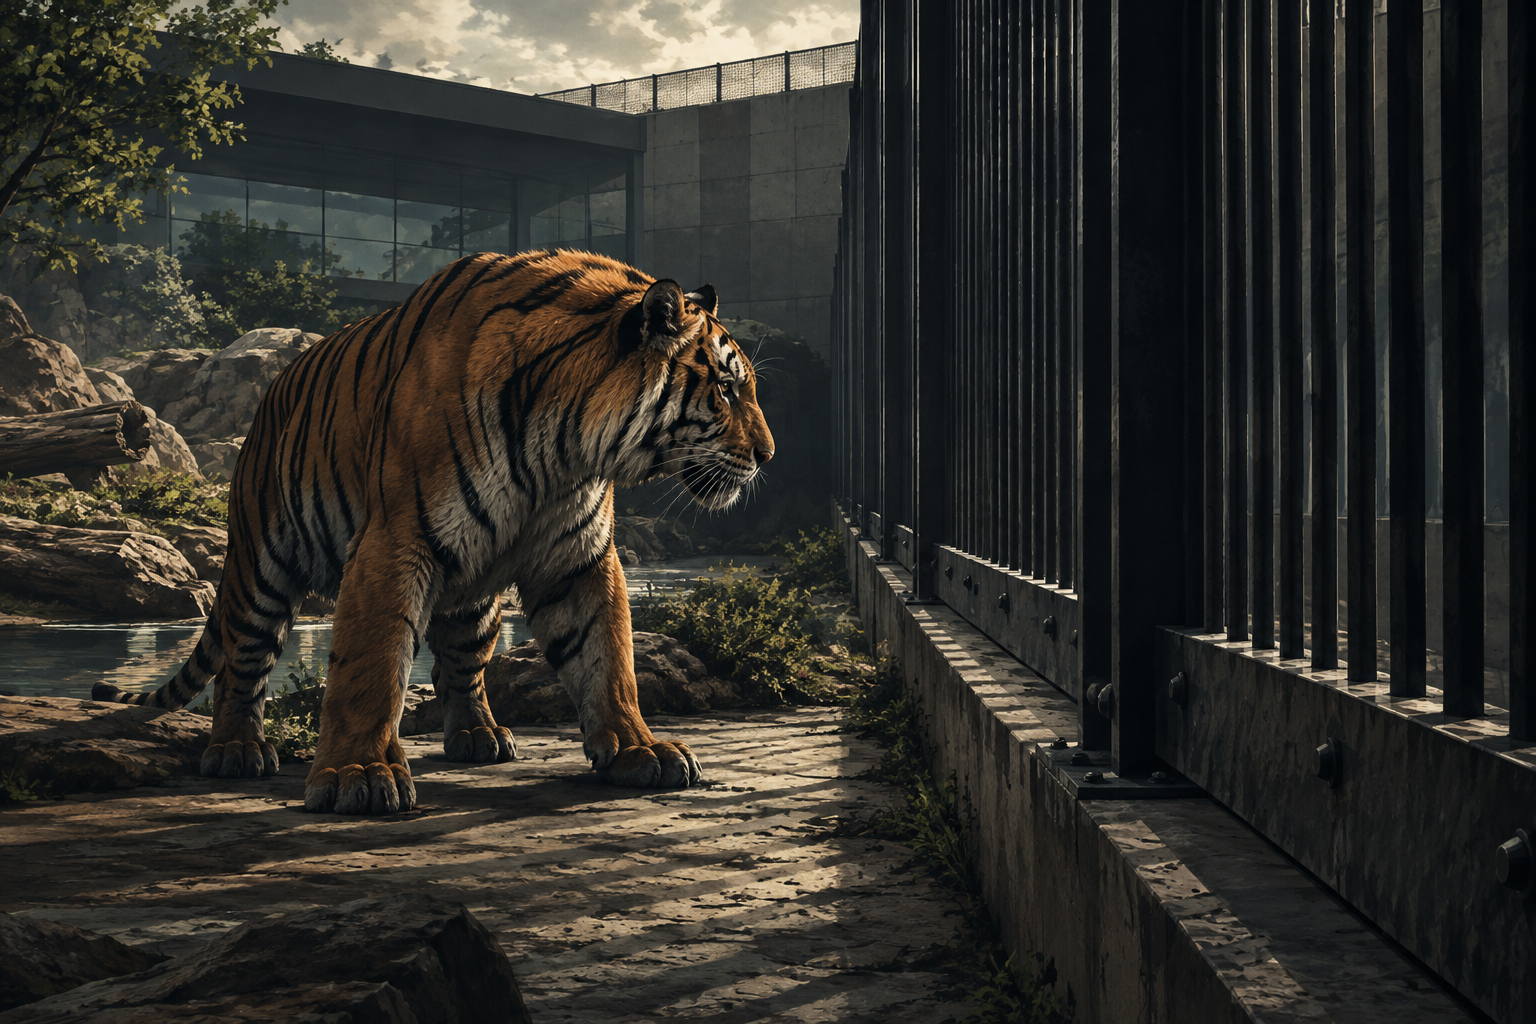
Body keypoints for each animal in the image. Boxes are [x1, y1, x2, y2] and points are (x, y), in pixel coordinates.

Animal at [93, 249, 775, 816]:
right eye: (725, 388)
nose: (768, 455)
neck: (565, 447)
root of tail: (272, 393)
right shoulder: (393, 543)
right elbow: (371, 667)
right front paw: (359, 775)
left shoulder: (578, 556)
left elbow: (608, 659)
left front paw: (640, 749)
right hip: (261, 565)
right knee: (243, 661)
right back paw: (235, 751)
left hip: (476, 595)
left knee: (462, 665)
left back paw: (478, 735)